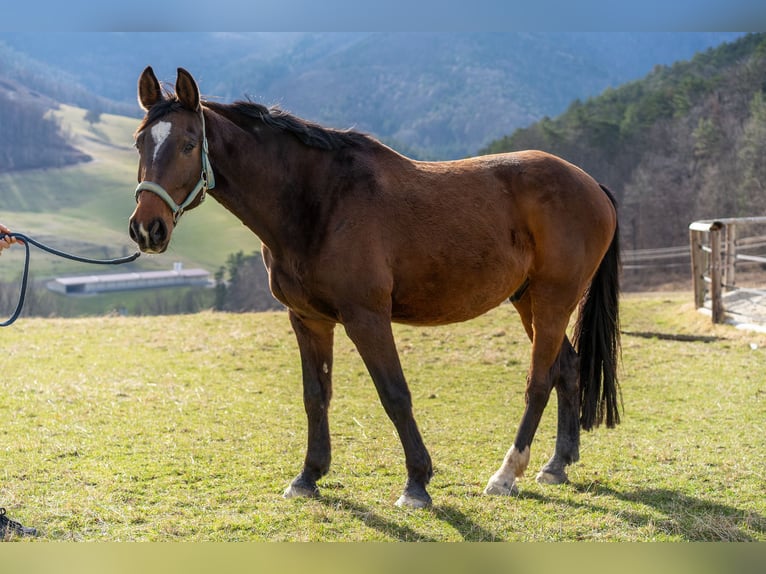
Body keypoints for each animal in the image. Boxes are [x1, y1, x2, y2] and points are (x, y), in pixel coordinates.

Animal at [129, 65, 620, 510]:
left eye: (189, 144)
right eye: (139, 142)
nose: (147, 228)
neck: (319, 202)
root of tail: (590, 184)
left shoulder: (367, 318)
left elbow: (395, 395)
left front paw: (417, 483)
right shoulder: (308, 320)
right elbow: (316, 396)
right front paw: (308, 476)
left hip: (554, 299)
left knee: (539, 380)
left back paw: (506, 474)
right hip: (528, 301)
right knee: (567, 368)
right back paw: (557, 464)